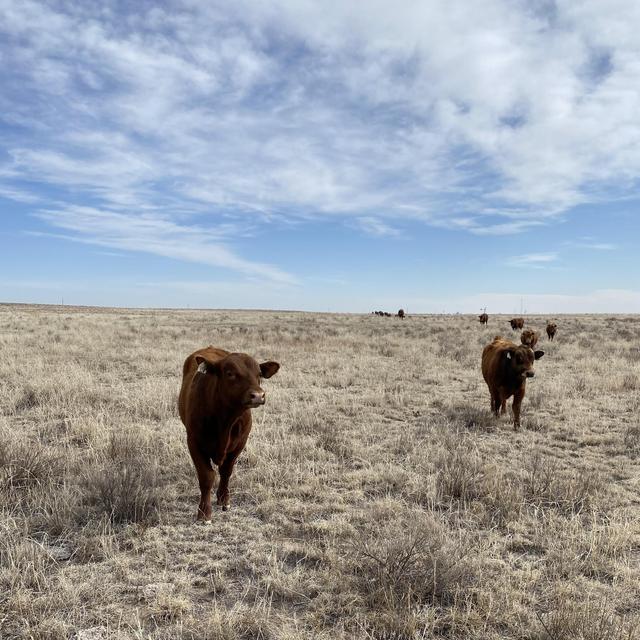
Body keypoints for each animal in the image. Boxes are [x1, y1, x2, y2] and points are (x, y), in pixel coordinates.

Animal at [178, 346, 280, 521]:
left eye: (259, 374)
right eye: (230, 373)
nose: (258, 395)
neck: (226, 420)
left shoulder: (240, 443)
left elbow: (226, 471)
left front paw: (224, 499)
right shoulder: (193, 442)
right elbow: (206, 476)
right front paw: (204, 512)